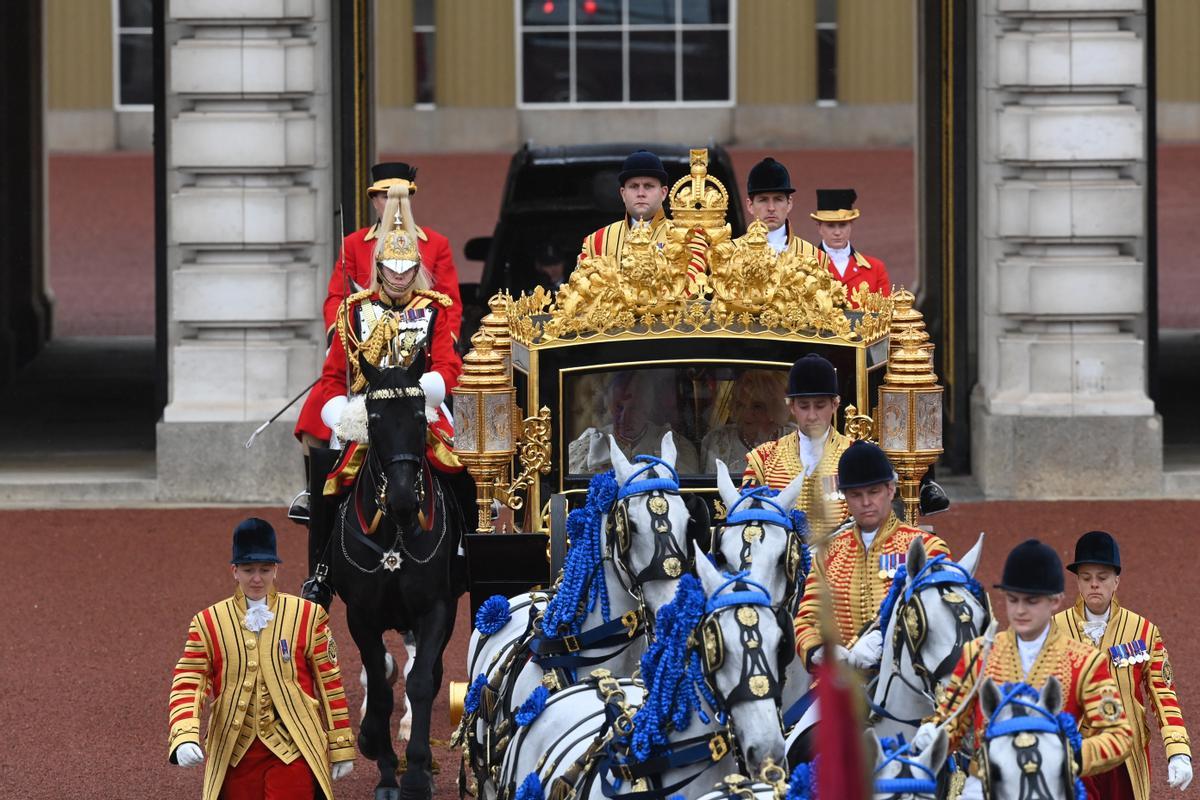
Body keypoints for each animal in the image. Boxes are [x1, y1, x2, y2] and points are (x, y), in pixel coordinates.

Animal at [326, 357, 465, 800]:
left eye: (420, 417)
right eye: (374, 419)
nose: (404, 500)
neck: (395, 533)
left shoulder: (436, 609)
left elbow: (419, 682)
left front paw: (417, 774)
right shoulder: (360, 616)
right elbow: (381, 690)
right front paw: (381, 760)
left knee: (427, 673)